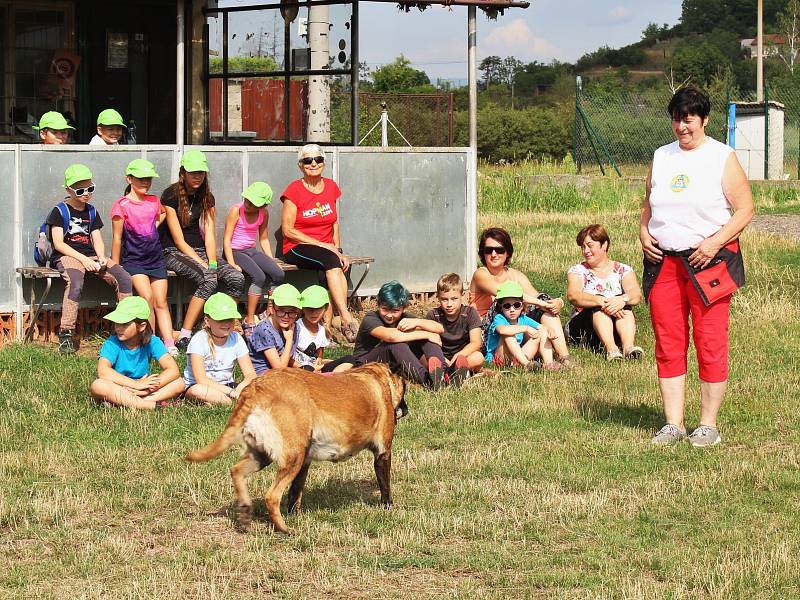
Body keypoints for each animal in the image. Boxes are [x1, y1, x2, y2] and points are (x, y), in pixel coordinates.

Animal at [187, 360, 406, 536]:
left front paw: (295, 514)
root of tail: (257, 387)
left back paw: (245, 512)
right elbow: (385, 487)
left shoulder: (305, 463)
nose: (406, 409)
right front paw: (388, 507)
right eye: (404, 389)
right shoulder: (383, 452)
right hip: (293, 457)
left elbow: (295, 493)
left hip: (264, 455)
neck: (375, 376)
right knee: (271, 497)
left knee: (236, 471)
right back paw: (283, 529)